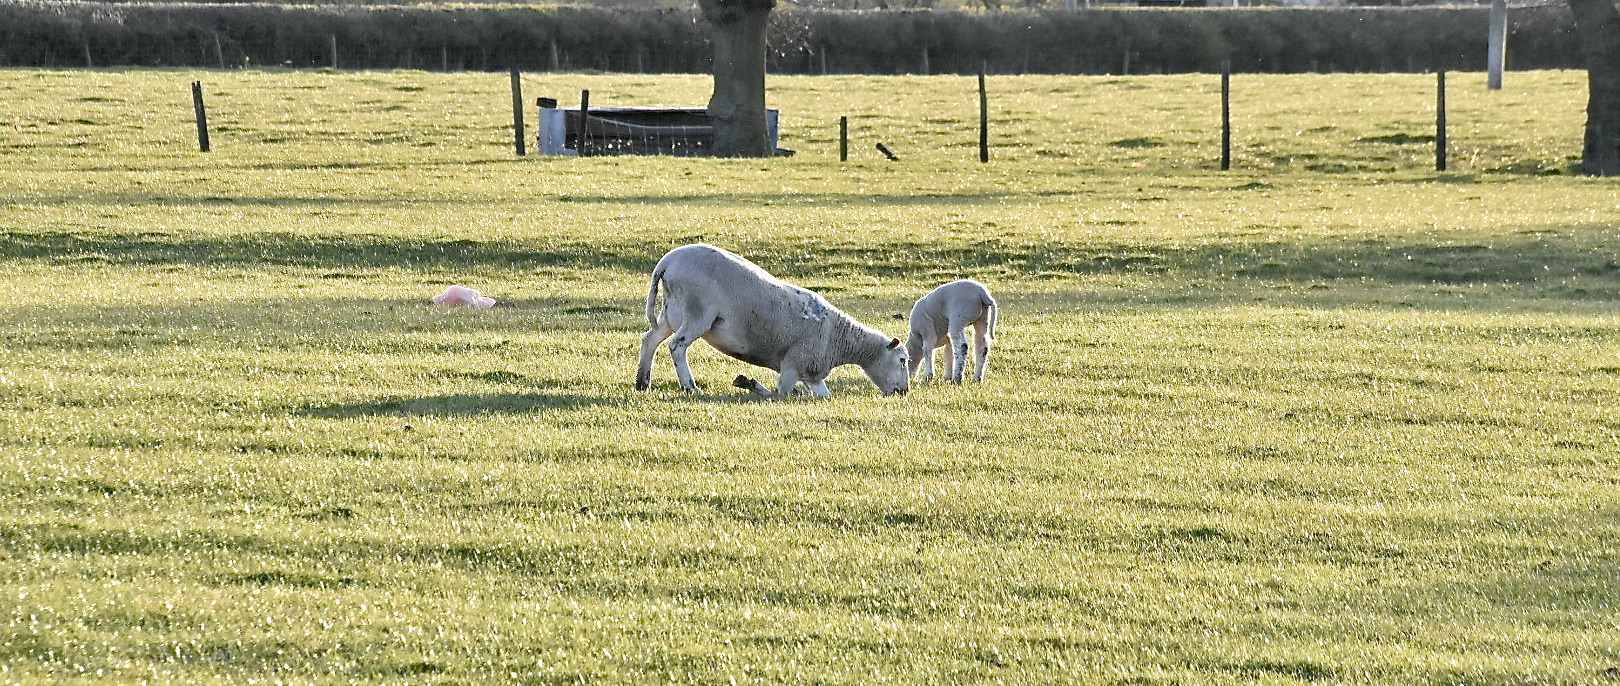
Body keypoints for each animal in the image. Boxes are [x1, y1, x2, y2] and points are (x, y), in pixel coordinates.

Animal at [631, 246, 913, 397]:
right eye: (902, 360)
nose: (904, 392)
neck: (839, 338)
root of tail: (667, 262)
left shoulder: (812, 375)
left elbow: (822, 396)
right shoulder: (791, 366)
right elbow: (780, 395)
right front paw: (747, 383)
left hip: (670, 313)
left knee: (650, 340)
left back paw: (642, 383)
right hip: (697, 313)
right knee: (677, 346)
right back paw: (690, 387)